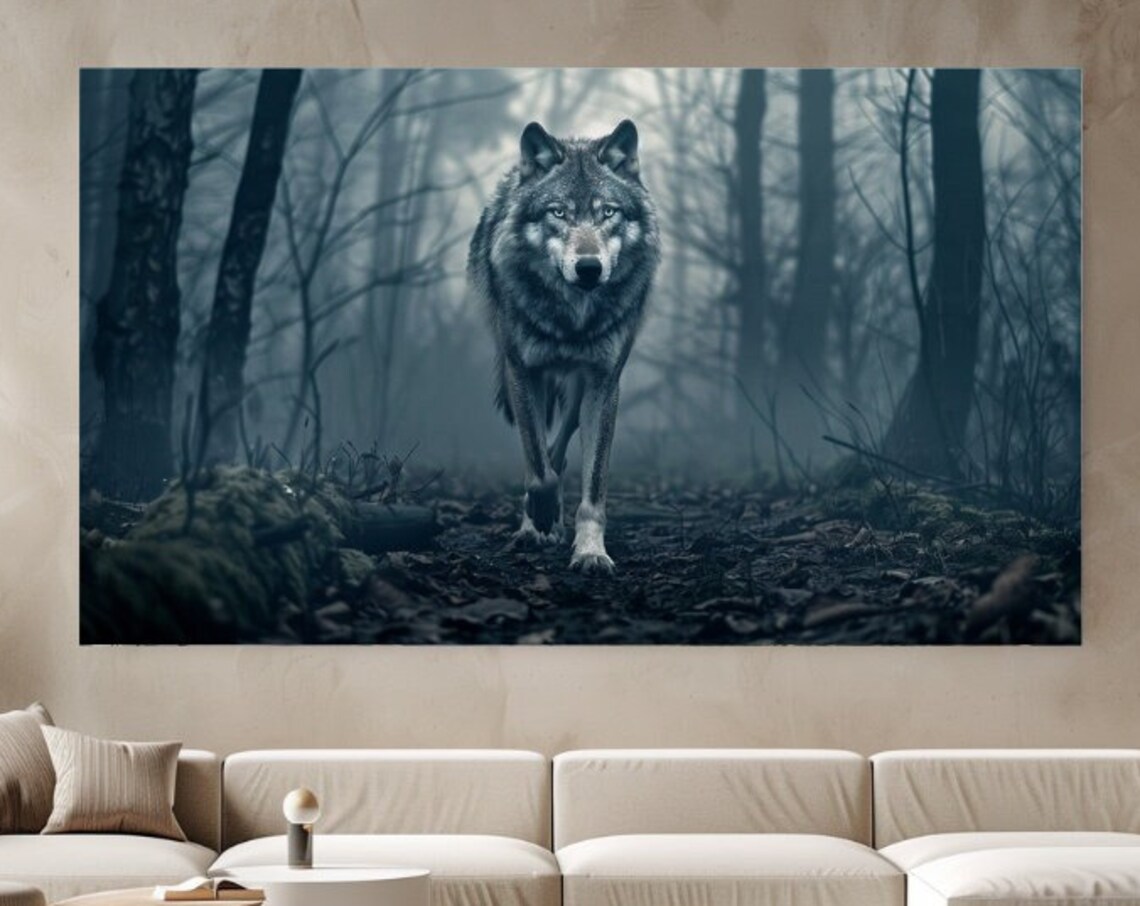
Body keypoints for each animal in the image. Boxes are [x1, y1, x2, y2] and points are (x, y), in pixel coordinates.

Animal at [468, 119, 660, 573]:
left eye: (608, 212)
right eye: (558, 212)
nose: (589, 268)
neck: (571, 319)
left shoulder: (604, 384)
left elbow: (591, 488)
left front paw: (590, 551)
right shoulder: (523, 372)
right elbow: (538, 470)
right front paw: (539, 517)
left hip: (578, 393)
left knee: (561, 448)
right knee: (541, 456)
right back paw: (535, 524)